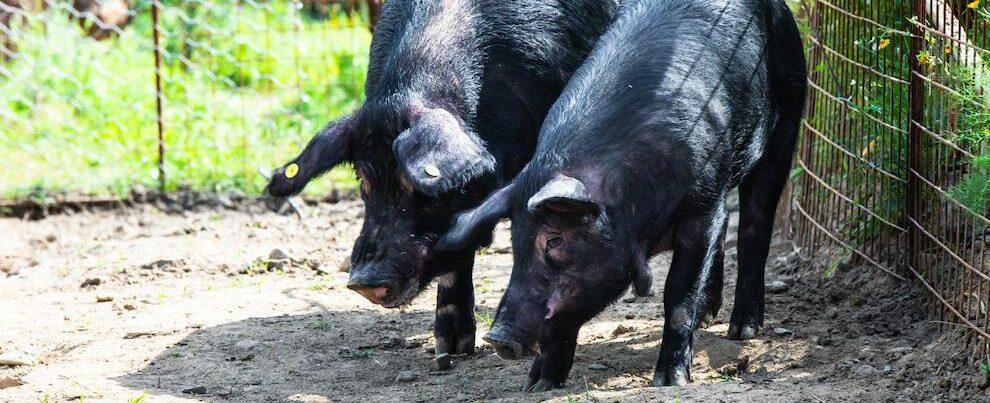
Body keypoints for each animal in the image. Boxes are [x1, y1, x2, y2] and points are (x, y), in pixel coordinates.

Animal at [438, 0, 808, 392]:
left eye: (554, 240)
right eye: (515, 243)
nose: (497, 338)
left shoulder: (702, 207)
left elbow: (679, 294)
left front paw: (669, 381)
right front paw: (537, 385)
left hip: (786, 119)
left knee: (755, 228)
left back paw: (743, 330)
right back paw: (708, 317)